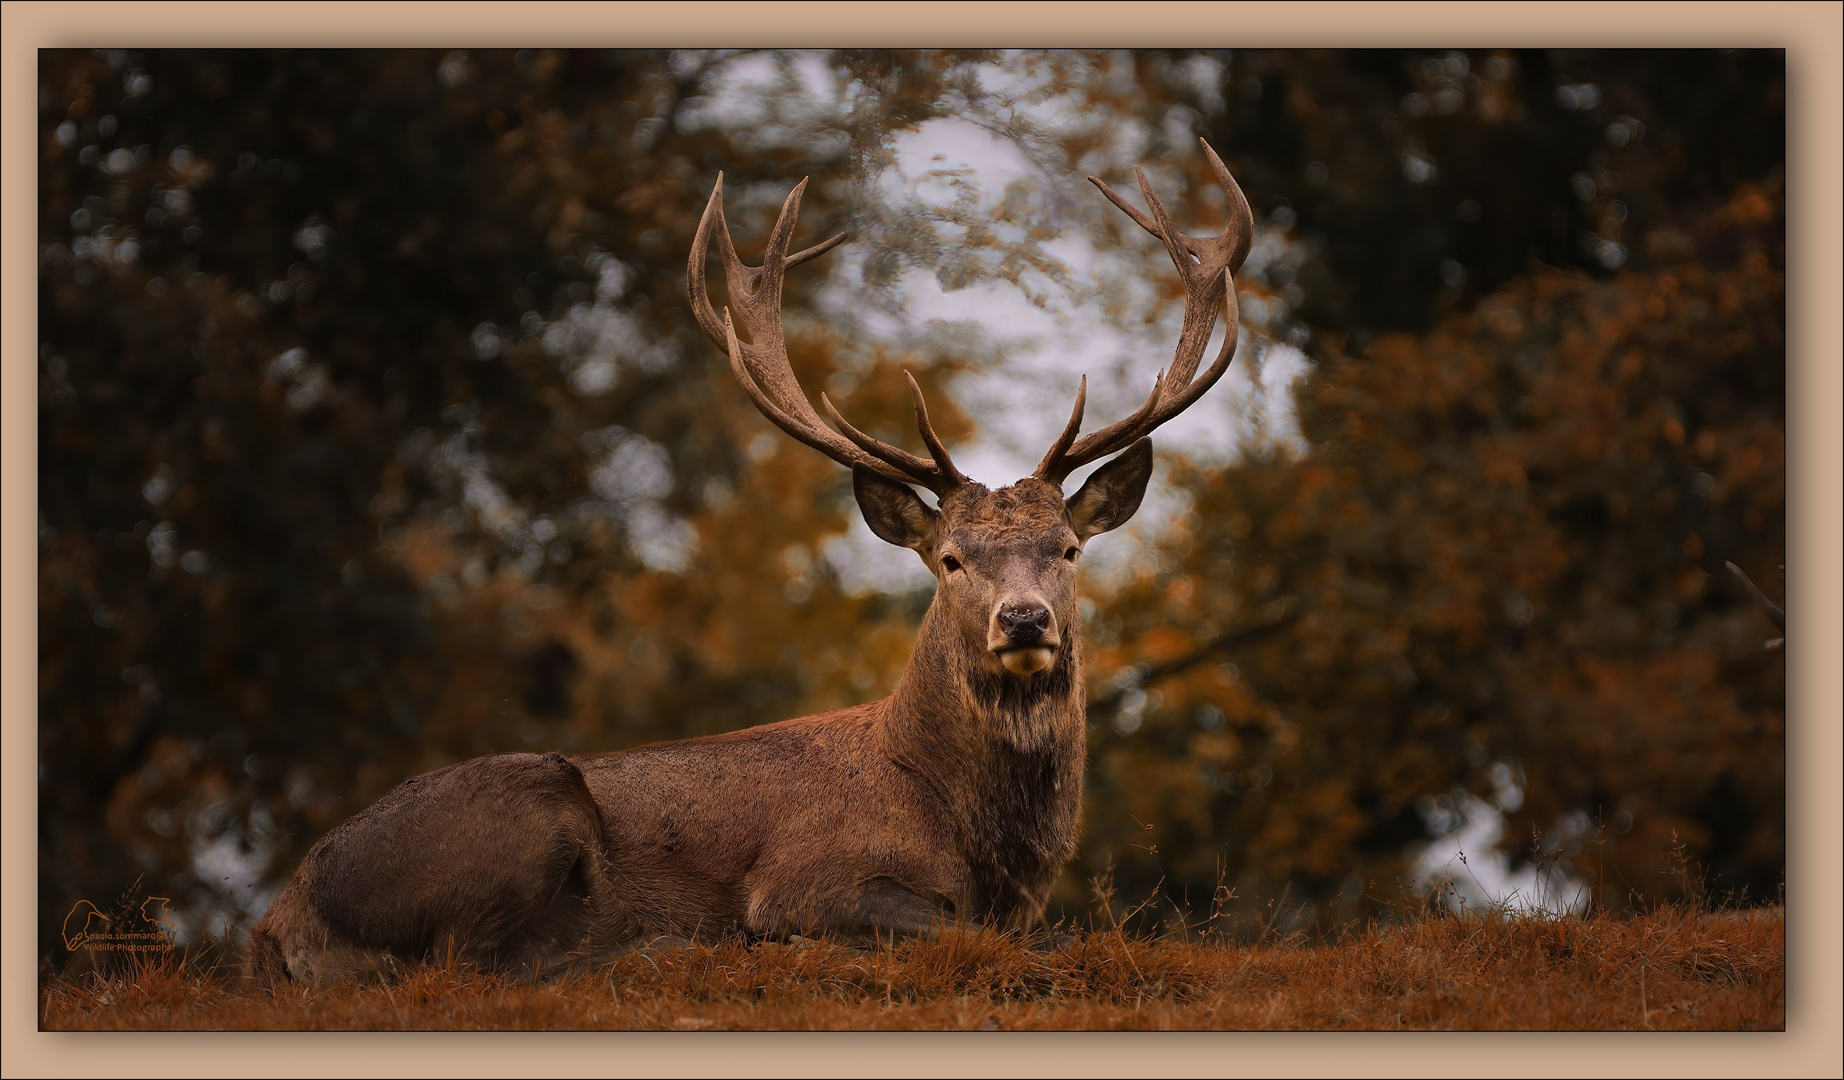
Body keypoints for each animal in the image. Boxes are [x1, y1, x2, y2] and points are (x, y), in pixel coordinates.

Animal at [248, 139, 1254, 984]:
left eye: (1070, 549)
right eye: (951, 559)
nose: (1025, 619)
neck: (969, 834)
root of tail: (281, 920)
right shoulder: (810, 878)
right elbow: (962, 931)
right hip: (527, 809)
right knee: (475, 963)